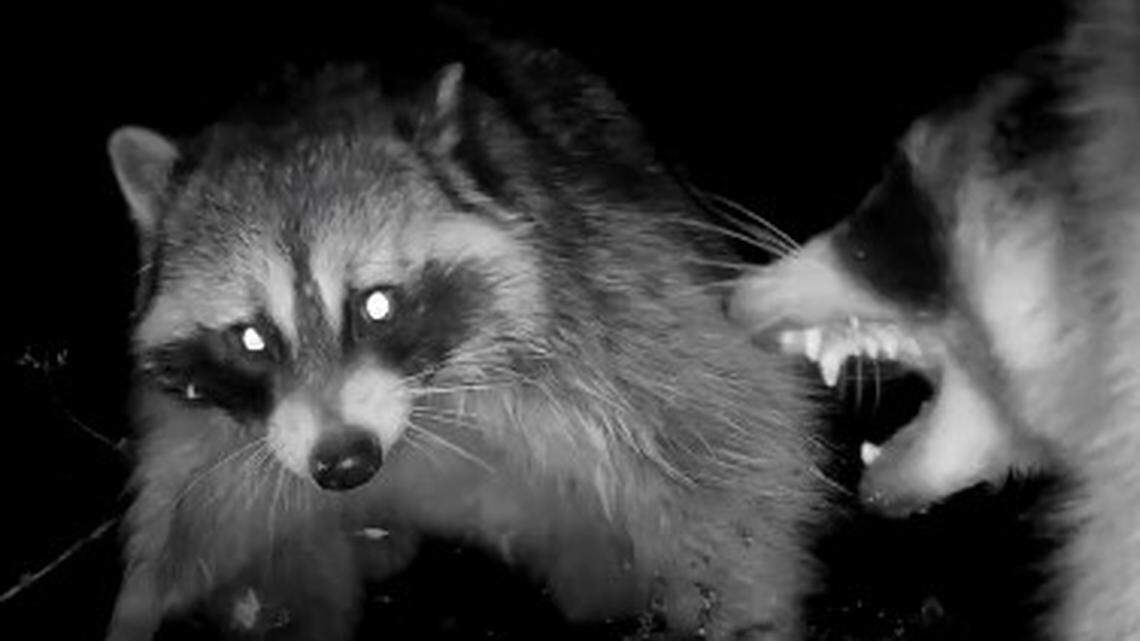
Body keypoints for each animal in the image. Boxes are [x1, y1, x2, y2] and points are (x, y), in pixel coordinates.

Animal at [103, 32, 831, 641]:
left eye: (376, 304)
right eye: (252, 338)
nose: (345, 463)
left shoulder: (606, 287)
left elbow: (729, 436)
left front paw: (743, 609)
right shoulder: (210, 437)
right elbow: (188, 523)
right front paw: (143, 607)